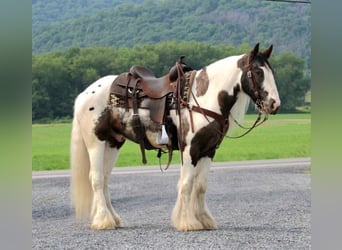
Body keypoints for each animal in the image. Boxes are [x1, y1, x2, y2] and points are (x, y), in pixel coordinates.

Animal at [69, 42, 280, 230]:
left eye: (272, 72)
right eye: (258, 72)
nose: (274, 104)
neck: (203, 97)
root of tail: (85, 93)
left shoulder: (208, 150)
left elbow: (200, 185)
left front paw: (205, 220)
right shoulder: (190, 149)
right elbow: (186, 184)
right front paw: (188, 222)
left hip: (113, 143)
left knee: (105, 178)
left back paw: (114, 219)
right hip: (96, 142)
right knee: (96, 178)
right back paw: (103, 221)